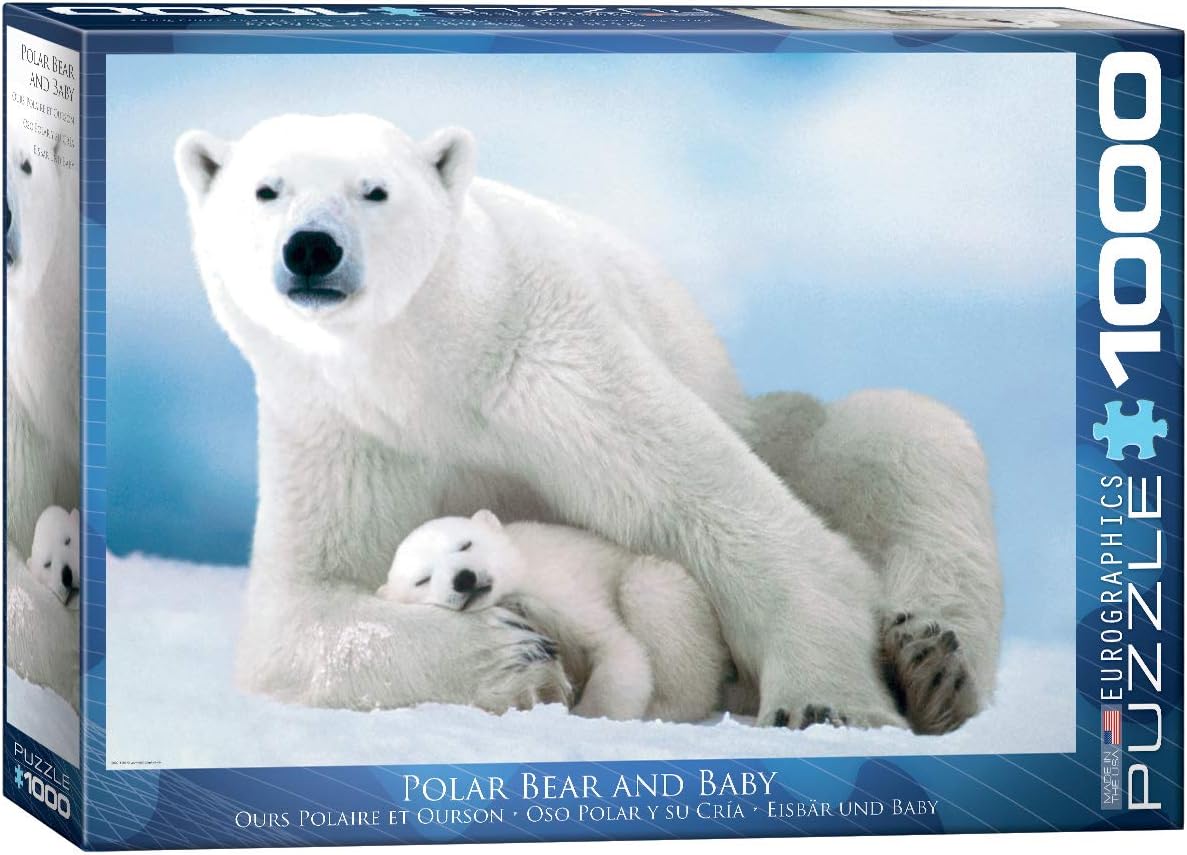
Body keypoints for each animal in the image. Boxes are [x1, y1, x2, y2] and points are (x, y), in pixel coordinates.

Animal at [380, 510, 730, 723]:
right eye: (422, 579)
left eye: (465, 544)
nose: (464, 579)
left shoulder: (559, 587)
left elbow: (615, 647)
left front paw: (591, 714)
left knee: (650, 586)